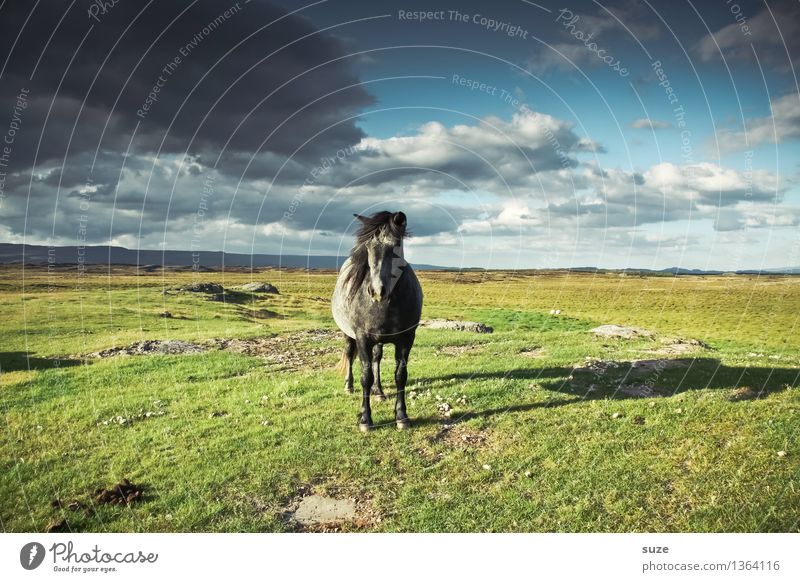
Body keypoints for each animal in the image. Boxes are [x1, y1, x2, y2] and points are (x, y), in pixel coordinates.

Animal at [332, 212, 424, 432]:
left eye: (396, 245)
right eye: (367, 247)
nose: (376, 291)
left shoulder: (407, 339)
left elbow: (400, 375)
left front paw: (401, 416)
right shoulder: (363, 338)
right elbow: (366, 376)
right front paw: (366, 419)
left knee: (377, 358)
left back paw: (379, 391)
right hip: (349, 335)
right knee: (350, 355)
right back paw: (349, 386)